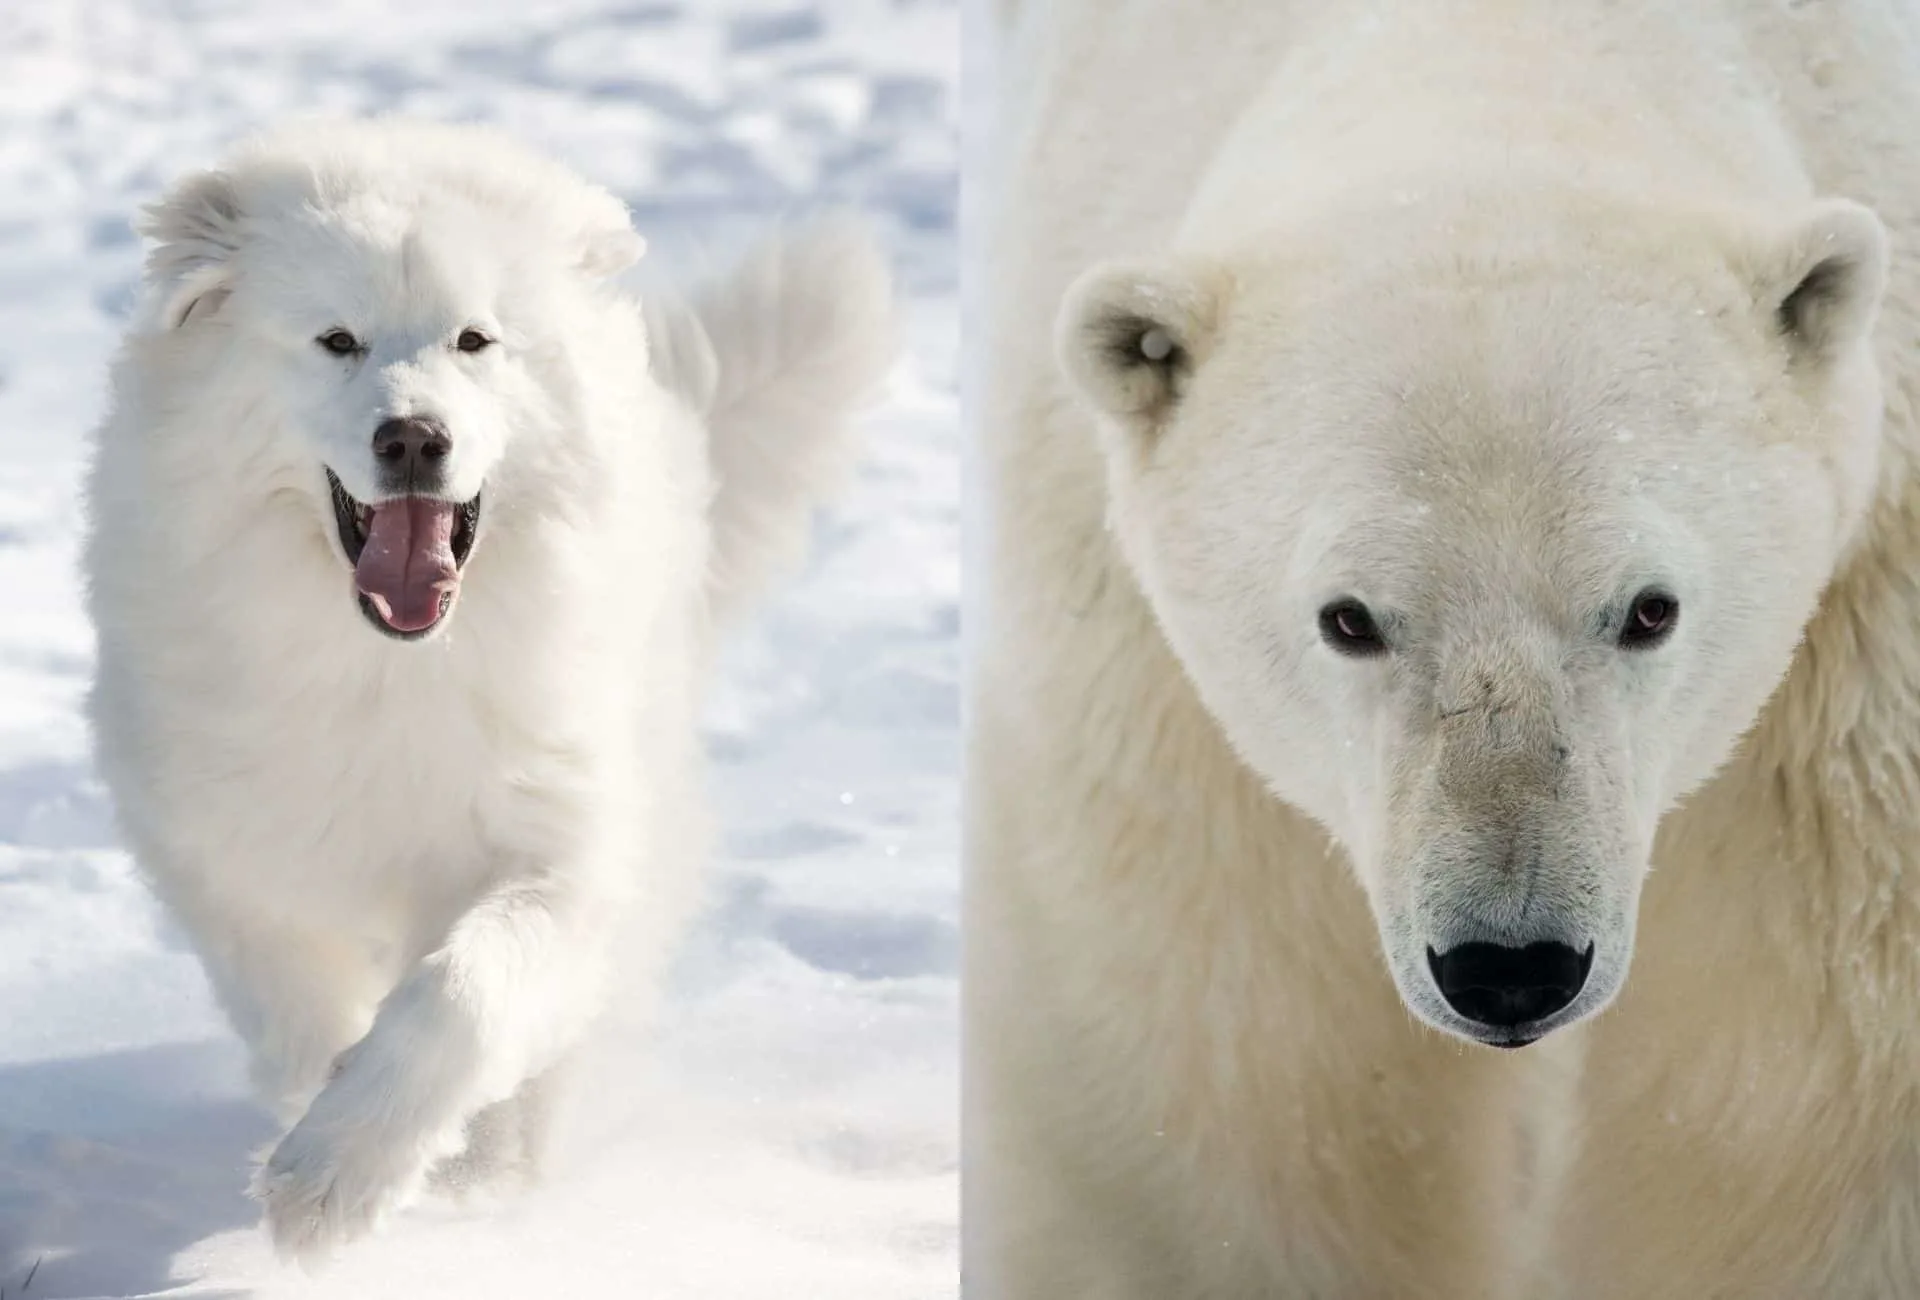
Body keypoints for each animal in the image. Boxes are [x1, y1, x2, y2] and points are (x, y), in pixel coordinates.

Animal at [84, 119, 898, 1259]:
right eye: (336, 339)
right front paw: (319, 1125)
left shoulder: (561, 845)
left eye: (475, 340)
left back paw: (491, 1175)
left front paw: (341, 1176)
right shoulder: (218, 840)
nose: (413, 438)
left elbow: (464, 993)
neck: (391, 661)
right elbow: (292, 995)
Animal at [967, 5, 1920, 1290]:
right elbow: (1225, 1073)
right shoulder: (1143, 690)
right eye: (1349, 618)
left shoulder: (1860, 660)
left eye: (1649, 609)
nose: (1510, 963)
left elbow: (1814, 1091)